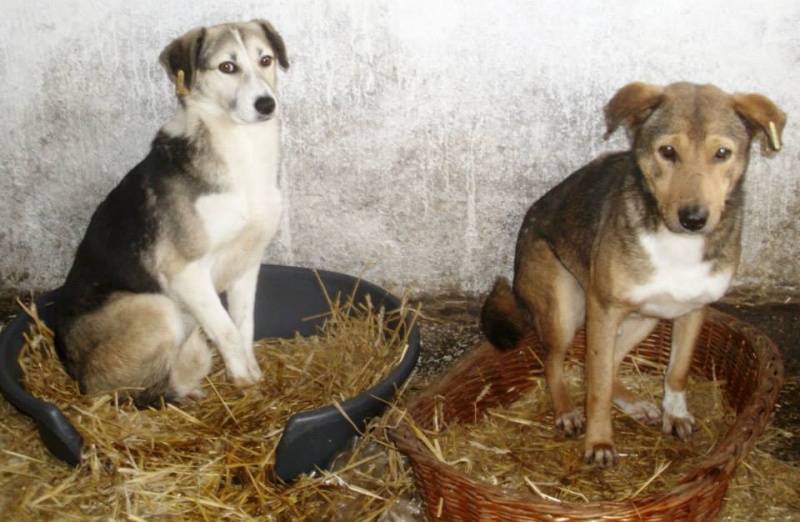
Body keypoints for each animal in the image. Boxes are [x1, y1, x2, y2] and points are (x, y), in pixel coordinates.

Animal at [56, 20, 290, 404]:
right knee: (127, 391)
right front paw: (242, 380)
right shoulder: (186, 273)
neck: (242, 148)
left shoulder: (246, 265)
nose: (266, 104)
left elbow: (243, 326)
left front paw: (253, 375)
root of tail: (77, 378)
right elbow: (227, 331)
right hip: (158, 308)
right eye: (227, 66)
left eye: (266, 60)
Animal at [482, 82, 780, 468]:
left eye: (722, 153)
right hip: (565, 305)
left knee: (600, 363)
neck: (676, 244)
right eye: (667, 151)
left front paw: (675, 414)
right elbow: (597, 389)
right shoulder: (604, 308)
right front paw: (599, 442)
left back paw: (635, 404)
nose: (694, 219)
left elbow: (676, 370)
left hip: (646, 316)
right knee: (557, 362)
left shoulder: (694, 309)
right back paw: (567, 411)